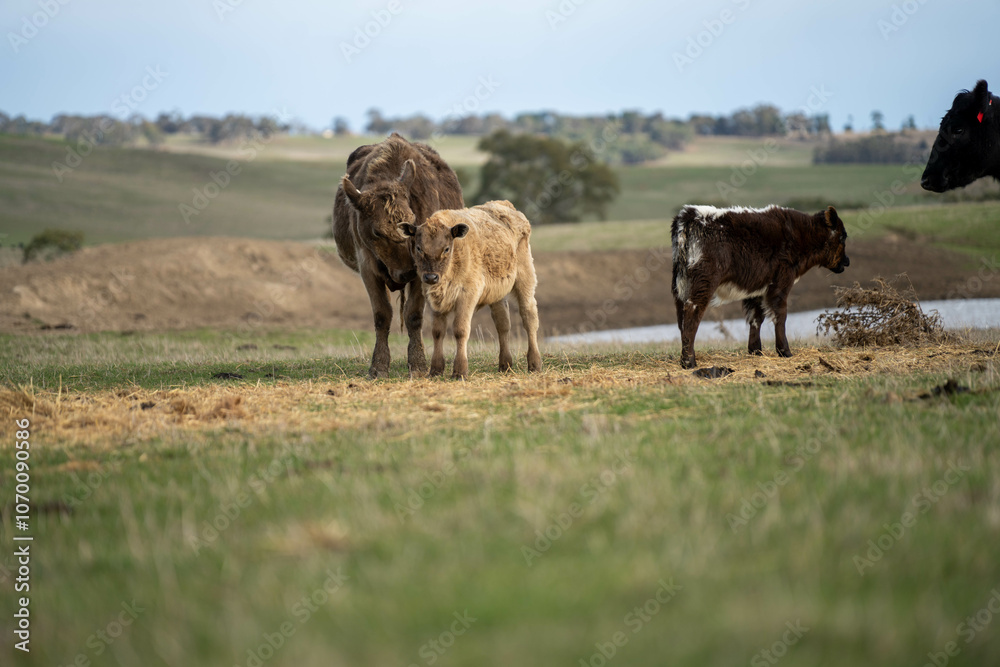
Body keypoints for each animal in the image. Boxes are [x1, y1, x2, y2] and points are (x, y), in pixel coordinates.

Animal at [333, 133, 464, 378]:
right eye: (377, 232)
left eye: (411, 222)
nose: (407, 272)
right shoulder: (367, 267)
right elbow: (382, 315)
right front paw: (379, 366)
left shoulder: (423, 273)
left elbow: (413, 315)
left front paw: (419, 364)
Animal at [399, 200, 542, 379]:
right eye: (419, 248)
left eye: (446, 248)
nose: (431, 277)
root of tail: (505, 205)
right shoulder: (435, 301)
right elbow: (438, 331)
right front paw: (436, 370)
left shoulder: (467, 295)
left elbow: (460, 330)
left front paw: (459, 371)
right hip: (497, 295)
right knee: (503, 324)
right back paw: (505, 365)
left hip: (525, 281)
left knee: (529, 318)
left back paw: (535, 364)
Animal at [670, 204, 850, 369]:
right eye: (842, 237)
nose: (847, 261)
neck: (800, 235)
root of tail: (689, 214)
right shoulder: (781, 284)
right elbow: (780, 316)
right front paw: (785, 351)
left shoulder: (758, 290)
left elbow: (756, 318)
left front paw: (756, 351)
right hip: (703, 284)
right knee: (692, 315)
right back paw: (689, 362)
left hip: (680, 287)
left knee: (682, 320)